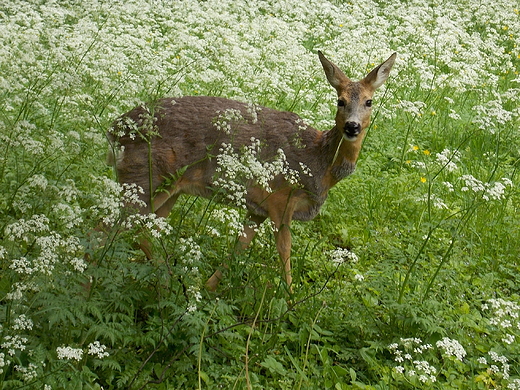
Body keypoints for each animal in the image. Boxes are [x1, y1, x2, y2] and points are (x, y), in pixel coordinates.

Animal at [107, 51, 396, 290]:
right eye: (340, 100)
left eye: (369, 102)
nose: (352, 126)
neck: (319, 163)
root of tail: (115, 129)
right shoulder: (281, 199)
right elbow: (285, 249)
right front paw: (288, 301)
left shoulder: (258, 208)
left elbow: (240, 245)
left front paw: (208, 289)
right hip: (145, 179)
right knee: (112, 224)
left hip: (167, 189)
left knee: (142, 228)